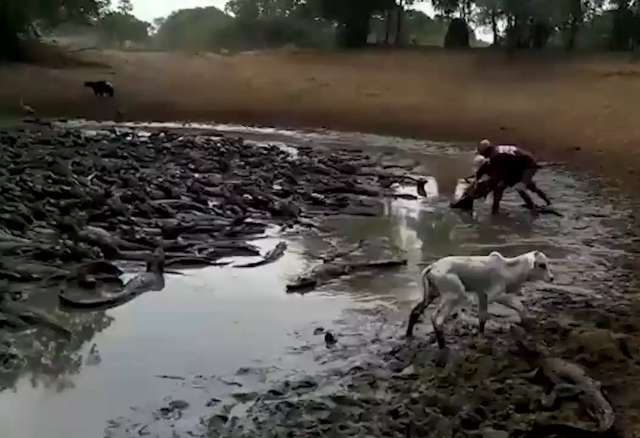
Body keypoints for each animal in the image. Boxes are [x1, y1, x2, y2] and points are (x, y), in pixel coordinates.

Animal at [408, 252, 552, 348]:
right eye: (541, 265)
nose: (552, 278)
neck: (507, 269)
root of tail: (432, 266)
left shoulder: (482, 295)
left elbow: (482, 317)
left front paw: (481, 336)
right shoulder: (496, 295)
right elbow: (519, 305)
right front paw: (527, 322)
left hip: (432, 293)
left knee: (416, 311)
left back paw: (409, 334)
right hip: (454, 295)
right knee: (436, 319)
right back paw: (443, 346)